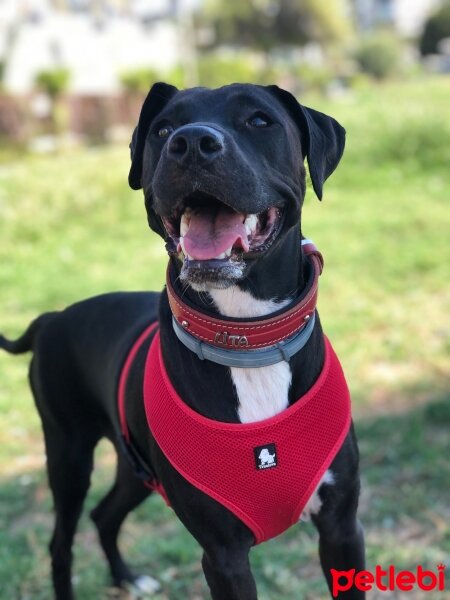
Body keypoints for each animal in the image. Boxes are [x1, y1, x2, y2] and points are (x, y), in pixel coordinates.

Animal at [0, 84, 366, 600]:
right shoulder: (223, 555)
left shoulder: (341, 528)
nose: (191, 143)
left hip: (133, 464)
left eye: (260, 120)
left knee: (104, 513)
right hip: (68, 454)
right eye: (163, 129)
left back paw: (129, 578)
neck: (248, 341)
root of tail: (53, 317)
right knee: (61, 544)